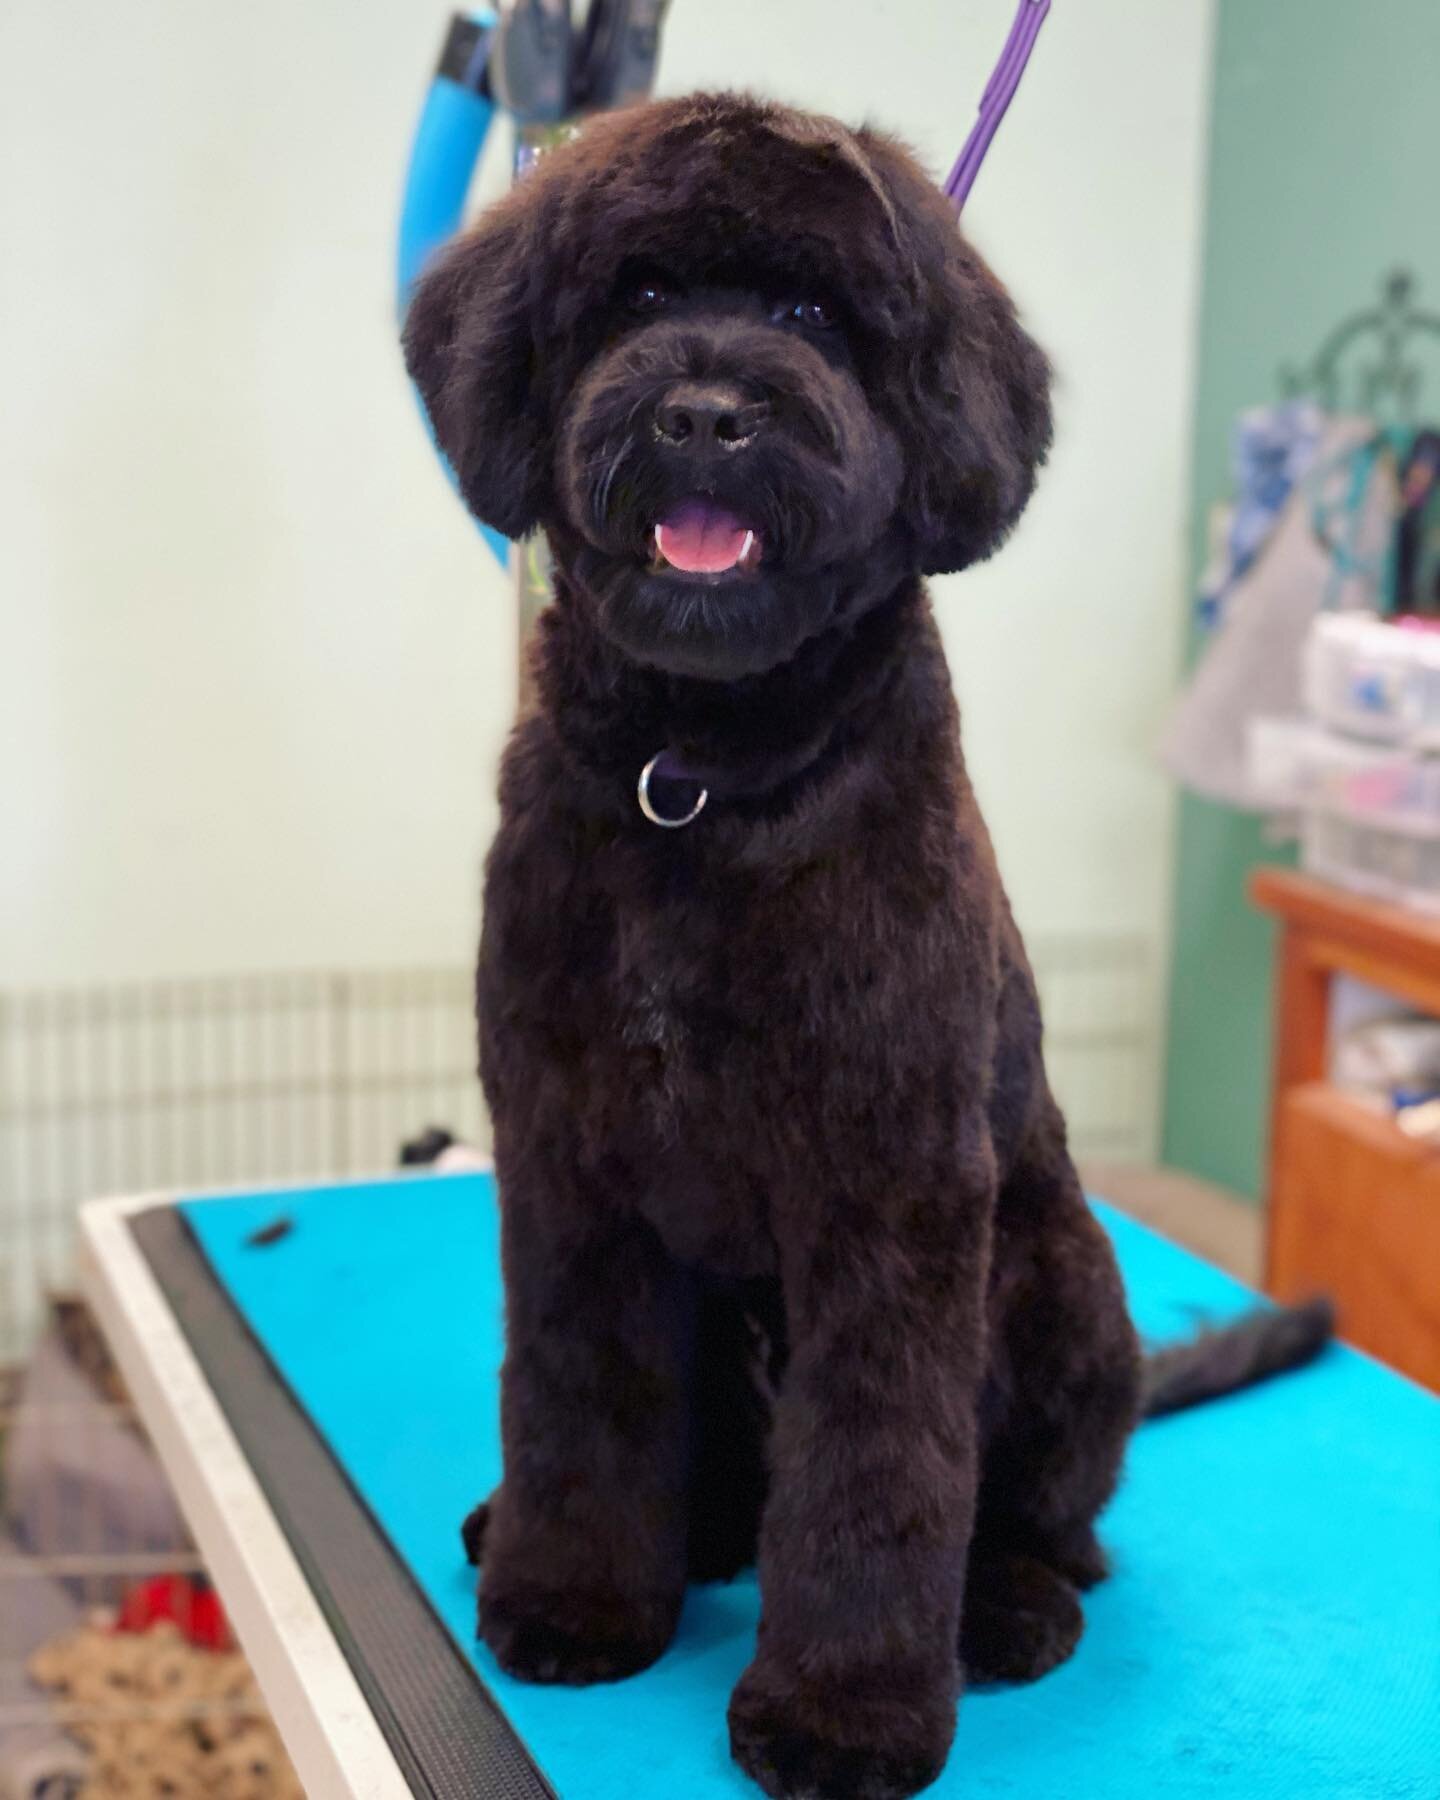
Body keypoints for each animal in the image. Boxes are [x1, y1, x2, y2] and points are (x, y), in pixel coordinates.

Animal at [405, 94, 1324, 1800]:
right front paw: (573, 1596)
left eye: (821, 317)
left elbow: (880, 1467)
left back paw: (1005, 1610)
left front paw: (843, 1712)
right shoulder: (567, 1162)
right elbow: (577, 1396)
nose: (706, 413)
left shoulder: (887, 1192)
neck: (701, 773)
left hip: (1059, 1282)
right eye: (636, 297)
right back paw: (638, 1534)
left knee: (1052, 1520)